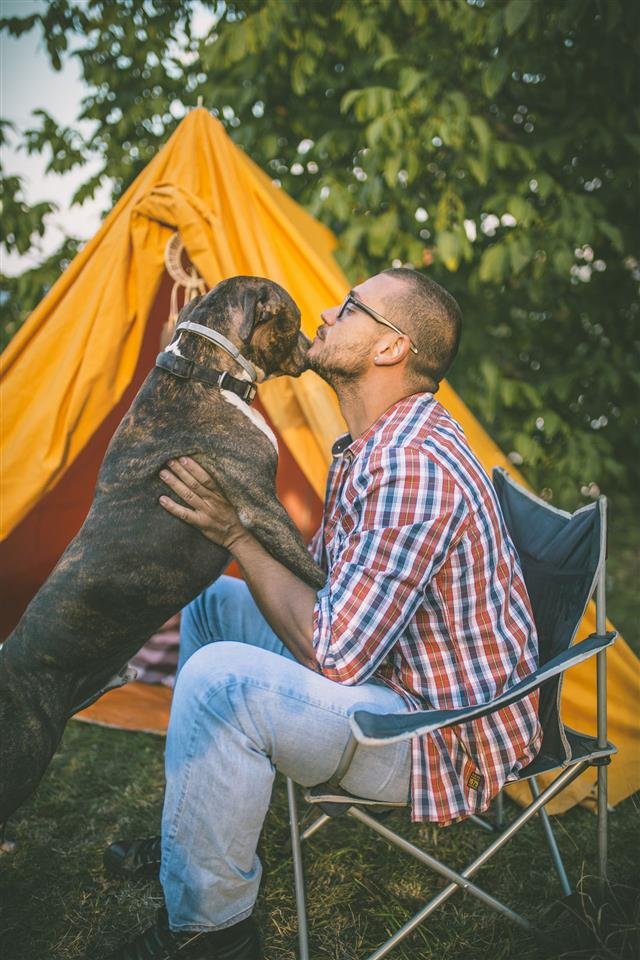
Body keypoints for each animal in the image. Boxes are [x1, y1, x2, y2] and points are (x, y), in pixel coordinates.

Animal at [0, 276, 328, 816]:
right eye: (295, 320)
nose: (311, 344)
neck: (205, 370)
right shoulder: (264, 507)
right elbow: (314, 571)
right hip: (21, 763)